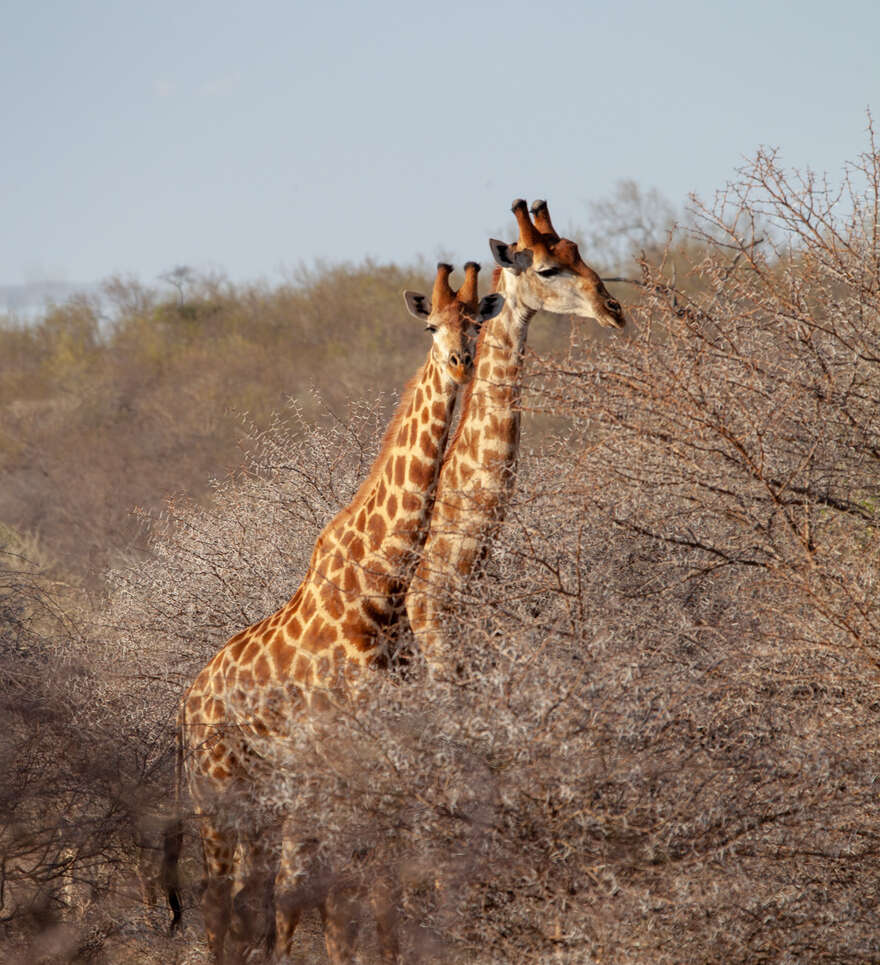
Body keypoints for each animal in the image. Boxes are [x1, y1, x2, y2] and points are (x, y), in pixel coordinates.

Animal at [166, 262, 506, 964]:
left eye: (476, 322)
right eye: (431, 326)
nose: (460, 363)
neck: (381, 590)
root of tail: (185, 706)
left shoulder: (383, 752)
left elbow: (375, 888)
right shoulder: (347, 756)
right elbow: (353, 895)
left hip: (266, 796)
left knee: (252, 900)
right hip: (220, 794)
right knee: (221, 905)